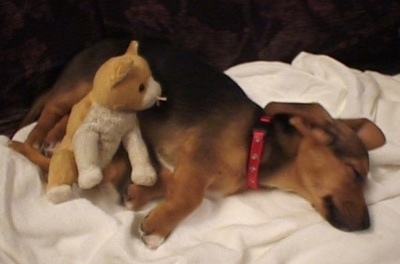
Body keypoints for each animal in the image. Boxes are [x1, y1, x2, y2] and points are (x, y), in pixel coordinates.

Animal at [9, 39, 384, 250]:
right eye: (354, 172)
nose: (368, 226)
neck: (256, 145)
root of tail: (93, 45)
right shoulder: (198, 160)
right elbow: (190, 197)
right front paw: (157, 228)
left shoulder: (189, 167)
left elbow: (169, 183)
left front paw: (140, 193)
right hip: (79, 85)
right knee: (50, 112)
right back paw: (35, 140)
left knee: (67, 118)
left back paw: (53, 141)